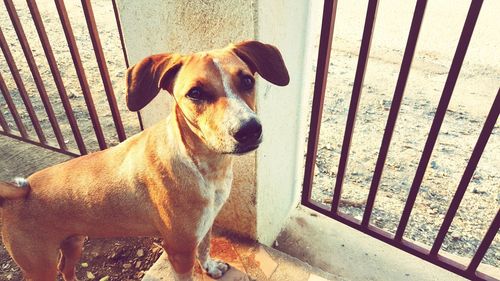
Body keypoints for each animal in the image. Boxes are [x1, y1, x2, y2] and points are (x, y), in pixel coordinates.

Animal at [0, 40, 290, 280]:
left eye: (247, 81)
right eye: (195, 93)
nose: (250, 130)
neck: (200, 165)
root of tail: (18, 193)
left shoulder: (205, 226)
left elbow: (205, 249)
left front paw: (210, 267)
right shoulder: (179, 251)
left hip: (73, 242)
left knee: (67, 269)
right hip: (40, 266)